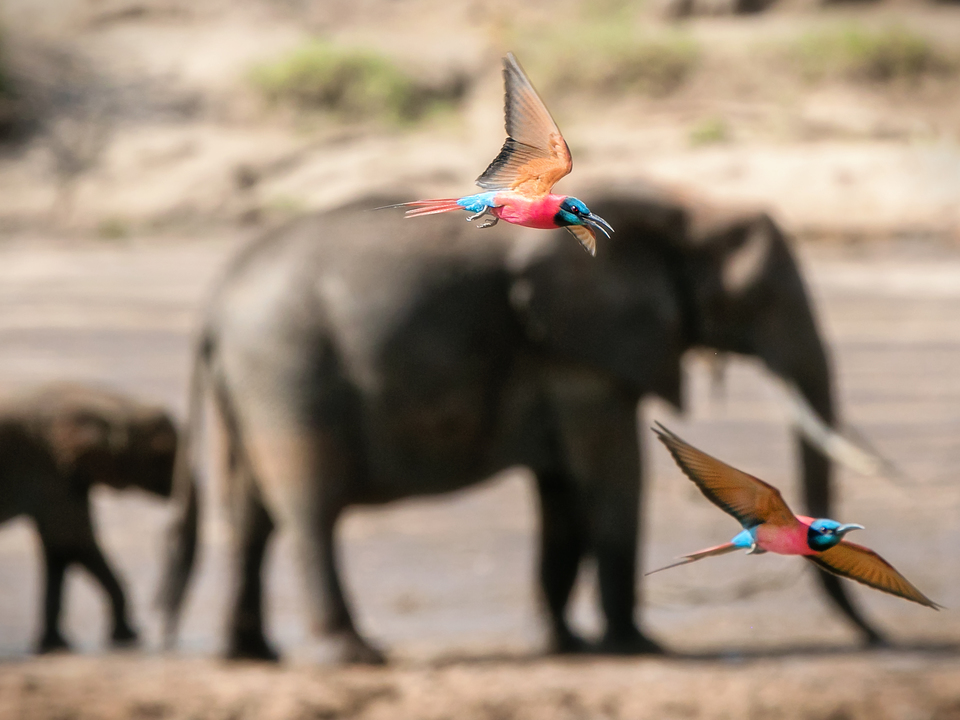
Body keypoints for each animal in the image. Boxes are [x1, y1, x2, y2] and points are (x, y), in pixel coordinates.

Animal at [0, 383, 177, 652]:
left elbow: (60, 547)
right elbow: (74, 541)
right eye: (162, 456)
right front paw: (128, 637)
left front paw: (56, 646)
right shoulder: (49, 468)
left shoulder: (59, 474)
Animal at [159, 183, 886, 664]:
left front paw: (566, 646)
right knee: (307, 507)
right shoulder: (582, 349)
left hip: (251, 385)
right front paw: (637, 647)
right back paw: (356, 654)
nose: (878, 641)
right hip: (289, 372)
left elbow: (563, 488)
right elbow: (613, 473)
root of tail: (212, 306)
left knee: (249, 511)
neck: (676, 204)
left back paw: (252, 654)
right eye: (758, 296)